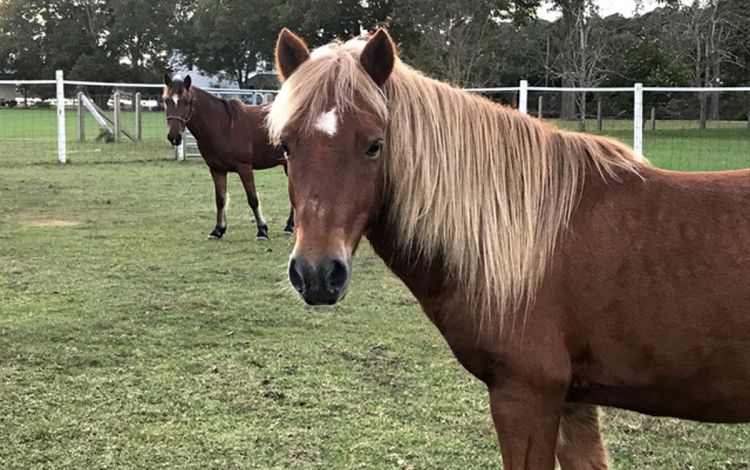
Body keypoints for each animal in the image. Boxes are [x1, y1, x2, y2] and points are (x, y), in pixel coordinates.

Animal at [164, 75, 294, 241]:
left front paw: (262, 230)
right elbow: (220, 200)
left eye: (187, 101)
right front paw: (218, 230)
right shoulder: (216, 170)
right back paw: (289, 226)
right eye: (166, 100)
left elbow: (252, 199)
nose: (174, 137)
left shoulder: (244, 168)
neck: (223, 125)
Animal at [268, 29, 748, 470]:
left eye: (374, 145)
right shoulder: (575, 403)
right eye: (287, 146)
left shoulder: (525, 397)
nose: (316, 274)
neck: (526, 240)